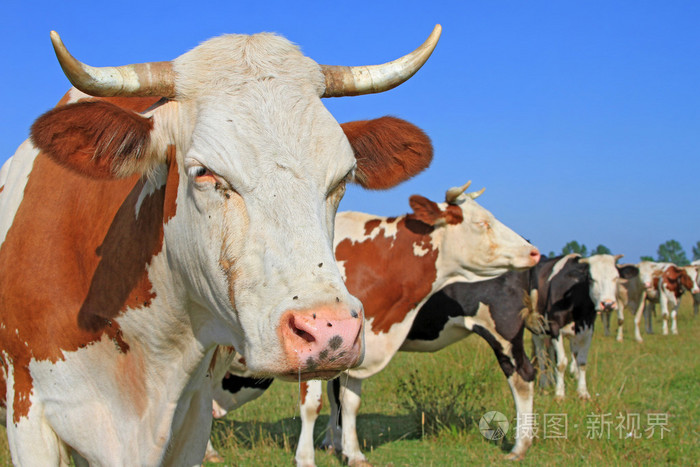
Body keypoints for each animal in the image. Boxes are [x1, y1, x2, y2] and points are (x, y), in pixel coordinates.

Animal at [212, 184, 540, 467]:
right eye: (482, 223)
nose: (531, 252)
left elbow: (342, 402)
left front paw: (340, 452)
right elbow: (331, 402)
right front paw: (328, 450)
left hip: (504, 331)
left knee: (522, 378)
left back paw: (519, 447)